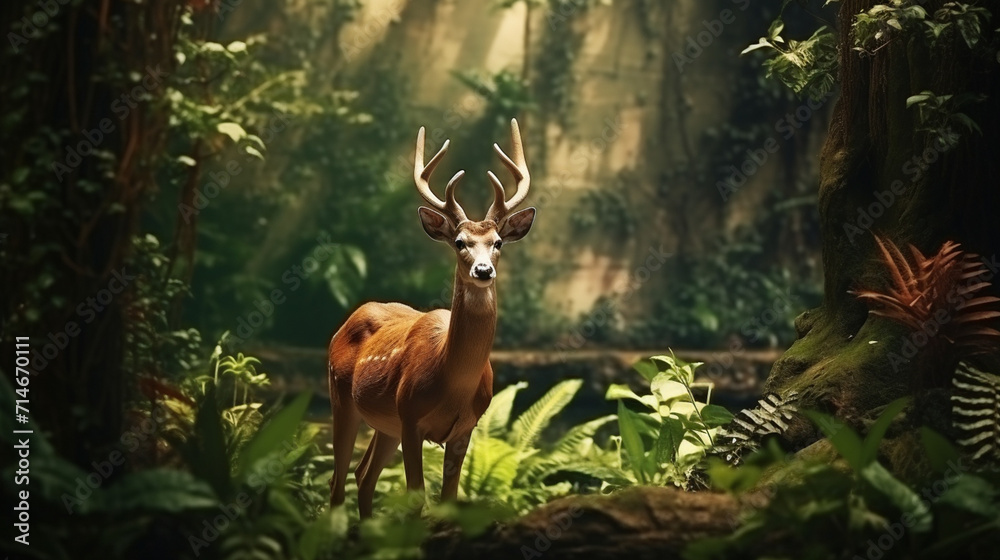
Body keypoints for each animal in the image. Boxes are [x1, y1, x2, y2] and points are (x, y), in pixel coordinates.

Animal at [328, 119, 535, 518]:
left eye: (498, 242)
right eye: (460, 242)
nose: (483, 270)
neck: (452, 383)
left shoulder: (465, 429)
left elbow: (448, 500)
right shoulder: (410, 418)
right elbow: (416, 498)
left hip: (385, 424)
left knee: (363, 475)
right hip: (341, 397)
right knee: (337, 482)